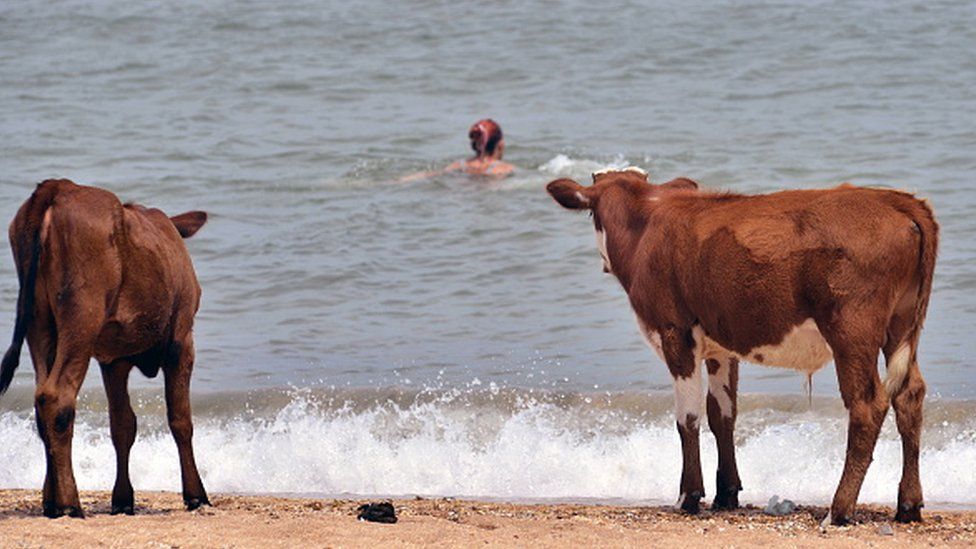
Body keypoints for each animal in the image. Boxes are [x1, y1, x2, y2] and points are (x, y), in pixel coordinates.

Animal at [0, 180, 210, 520]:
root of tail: (58, 186)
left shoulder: (113, 359)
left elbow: (122, 425)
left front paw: (122, 499)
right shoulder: (182, 340)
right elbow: (180, 419)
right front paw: (196, 495)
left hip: (39, 322)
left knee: (41, 400)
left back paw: (51, 502)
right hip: (81, 316)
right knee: (57, 397)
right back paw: (70, 503)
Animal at [548, 166, 936, 524]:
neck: (647, 224)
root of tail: (893, 199)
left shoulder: (676, 334)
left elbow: (688, 418)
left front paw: (688, 496)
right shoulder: (721, 348)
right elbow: (722, 415)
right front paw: (726, 494)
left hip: (852, 331)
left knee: (867, 405)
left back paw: (838, 510)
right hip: (901, 325)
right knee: (909, 395)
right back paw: (908, 505)